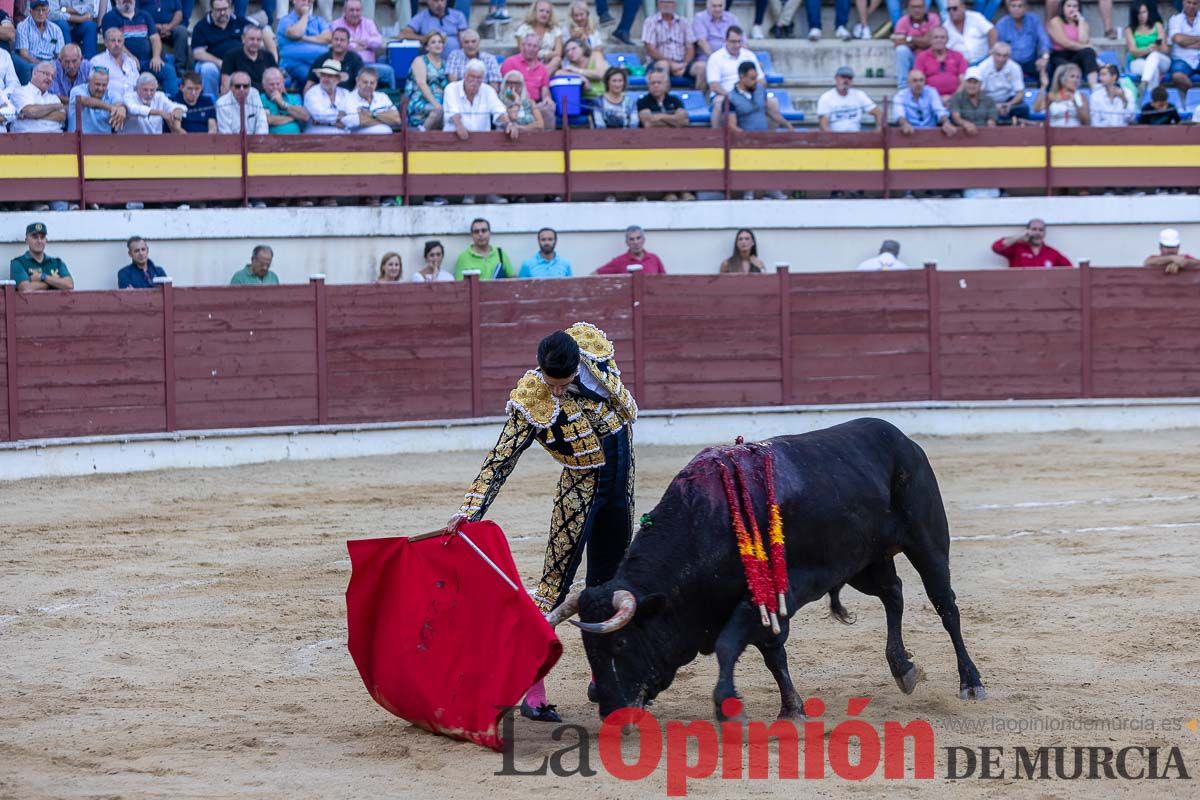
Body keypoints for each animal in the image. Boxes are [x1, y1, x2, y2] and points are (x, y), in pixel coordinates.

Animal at [552, 419, 984, 719]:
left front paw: (731, 704)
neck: (704, 524)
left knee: (946, 606)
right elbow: (772, 654)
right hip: (864, 564)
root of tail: (902, 440)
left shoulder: (768, 599)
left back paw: (971, 682)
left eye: (620, 644)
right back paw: (902, 667)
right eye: (589, 650)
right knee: (893, 594)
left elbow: (733, 645)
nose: (609, 709)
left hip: (927, 543)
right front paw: (790, 707)